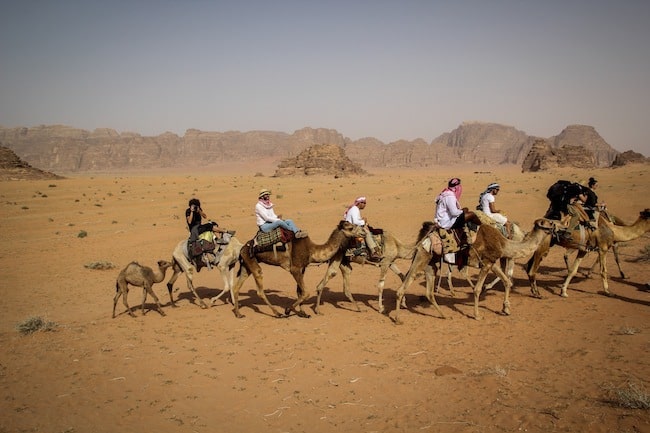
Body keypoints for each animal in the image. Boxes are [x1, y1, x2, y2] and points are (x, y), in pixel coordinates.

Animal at [230, 221, 365, 319]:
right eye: (350, 228)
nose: (363, 232)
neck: (311, 250)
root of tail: (242, 248)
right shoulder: (294, 268)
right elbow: (306, 292)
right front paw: (288, 310)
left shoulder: (302, 269)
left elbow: (300, 291)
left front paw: (303, 312)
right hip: (252, 262)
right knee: (259, 290)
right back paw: (277, 313)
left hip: (246, 265)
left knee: (237, 287)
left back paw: (238, 313)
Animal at [390, 218, 559, 324]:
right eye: (550, 222)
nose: (558, 228)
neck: (504, 243)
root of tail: (425, 235)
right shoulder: (486, 263)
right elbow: (477, 290)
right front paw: (477, 315)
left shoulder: (492, 262)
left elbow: (507, 281)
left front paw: (506, 309)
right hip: (422, 257)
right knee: (404, 286)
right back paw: (398, 319)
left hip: (431, 263)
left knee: (429, 292)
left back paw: (444, 316)